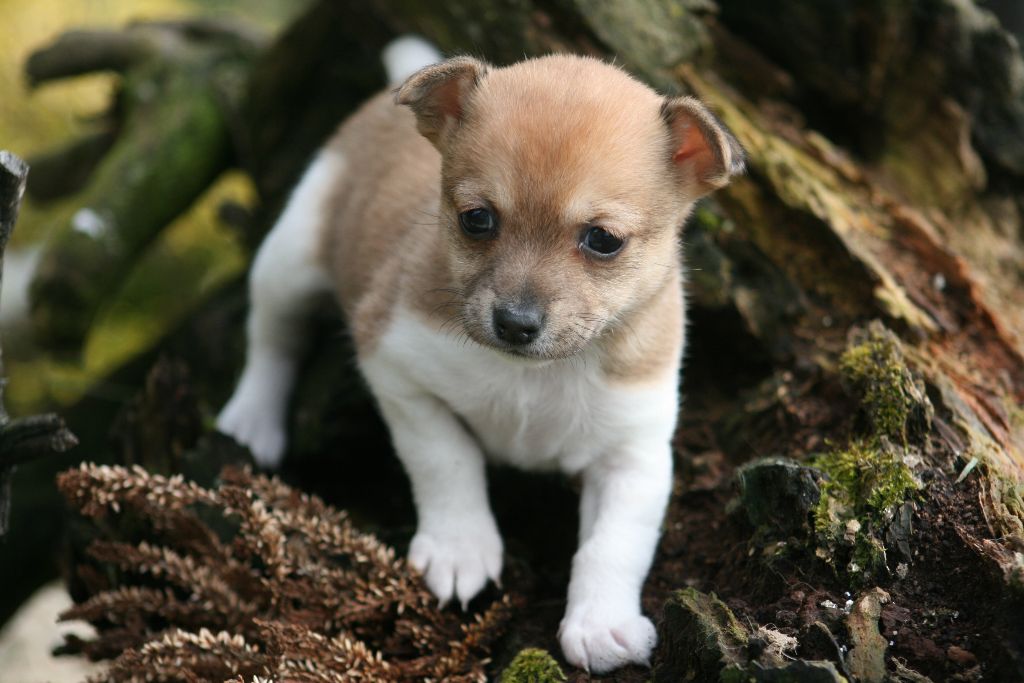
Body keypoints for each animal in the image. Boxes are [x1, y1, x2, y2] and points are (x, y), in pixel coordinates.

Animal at [218, 36, 745, 671]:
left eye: (603, 240)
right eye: (477, 220)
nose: (515, 323)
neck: (534, 377)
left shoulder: (634, 454)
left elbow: (614, 544)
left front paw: (602, 625)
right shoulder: (398, 372)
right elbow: (448, 459)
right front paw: (460, 548)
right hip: (291, 259)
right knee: (273, 337)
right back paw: (254, 418)